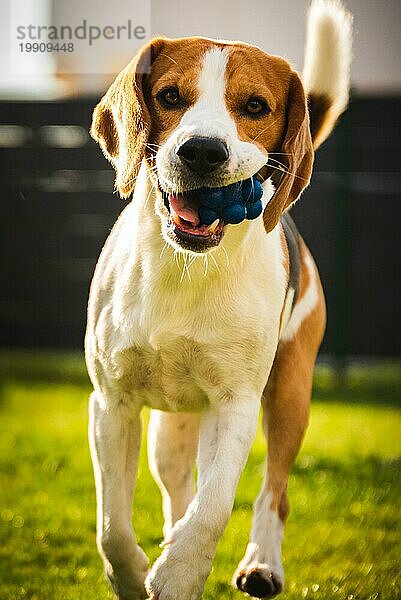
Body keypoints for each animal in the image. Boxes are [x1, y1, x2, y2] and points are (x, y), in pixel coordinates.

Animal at [85, 1, 350, 600]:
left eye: (255, 106)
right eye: (169, 96)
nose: (203, 151)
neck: (184, 269)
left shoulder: (236, 405)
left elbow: (213, 509)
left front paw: (180, 573)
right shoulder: (111, 402)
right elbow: (113, 525)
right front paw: (133, 575)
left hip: (289, 395)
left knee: (274, 491)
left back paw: (262, 563)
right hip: (169, 428)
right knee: (177, 487)